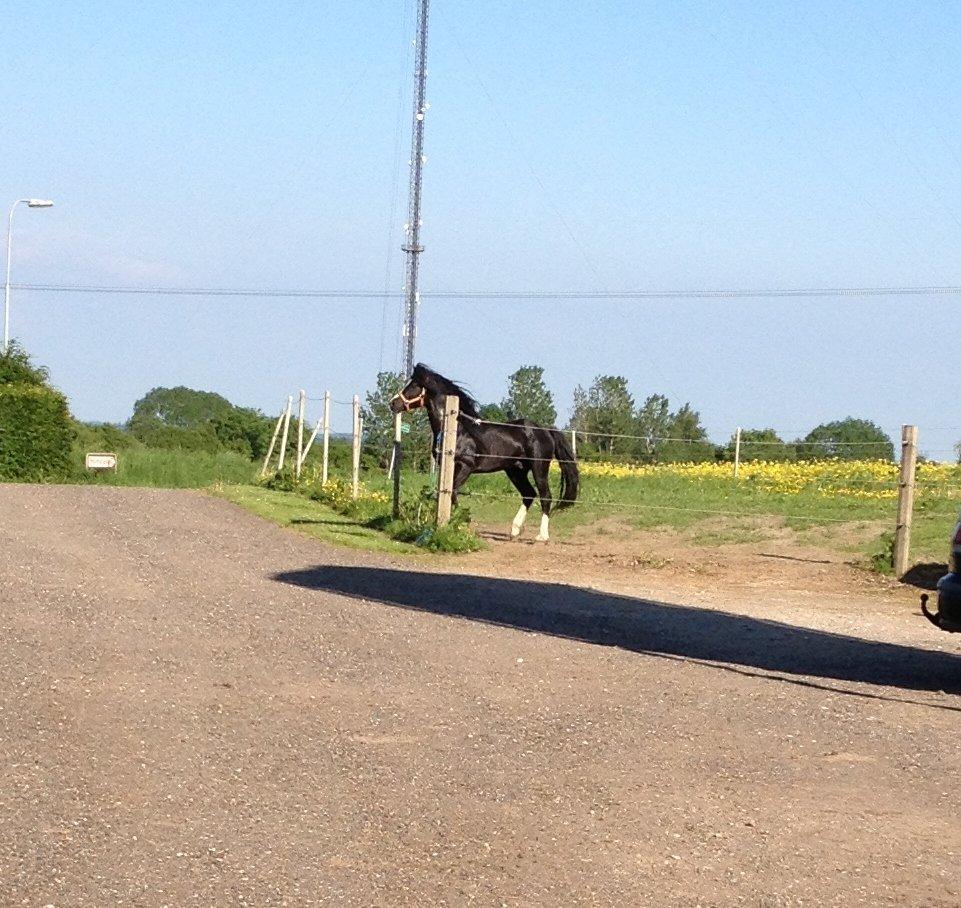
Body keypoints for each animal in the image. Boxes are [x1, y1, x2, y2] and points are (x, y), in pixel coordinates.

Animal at [388, 364, 576, 548]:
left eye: (414, 385)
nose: (393, 403)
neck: (457, 430)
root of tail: (545, 430)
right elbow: (444, 494)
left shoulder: (465, 466)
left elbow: (453, 493)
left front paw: (461, 525)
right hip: (516, 471)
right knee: (529, 494)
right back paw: (514, 530)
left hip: (539, 468)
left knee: (545, 496)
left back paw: (542, 536)